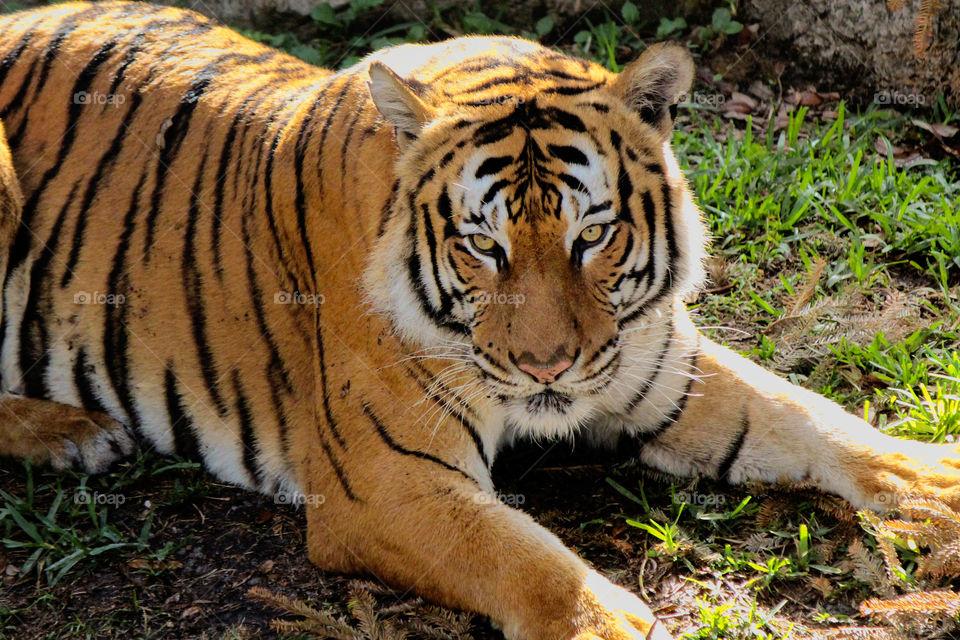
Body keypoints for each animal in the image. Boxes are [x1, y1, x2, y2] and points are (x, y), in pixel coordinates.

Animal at [0, 2, 957, 638]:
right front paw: (611, 625)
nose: (547, 368)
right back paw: (71, 432)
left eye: (592, 235)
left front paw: (933, 478)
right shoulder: (386, 482)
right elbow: (522, 558)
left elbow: (808, 413)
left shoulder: (659, 364)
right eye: (481, 246)